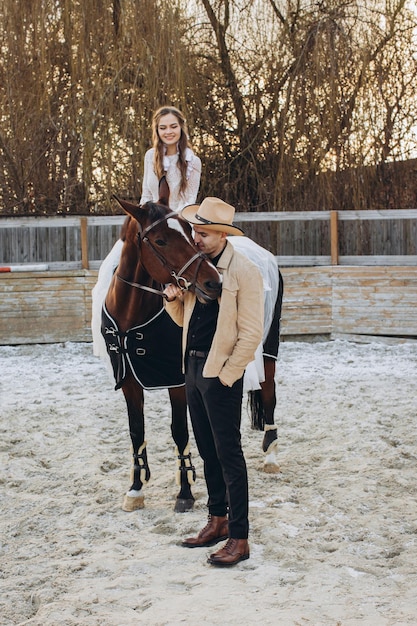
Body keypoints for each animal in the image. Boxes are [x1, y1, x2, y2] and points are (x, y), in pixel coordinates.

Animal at [101, 178, 221, 510]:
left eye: (190, 231)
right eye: (161, 240)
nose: (214, 282)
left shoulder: (177, 381)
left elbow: (179, 431)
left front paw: (185, 490)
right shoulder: (129, 380)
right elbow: (136, 430)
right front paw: (135, 487)